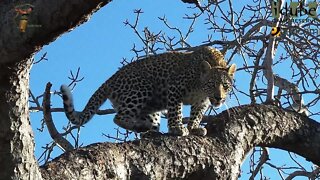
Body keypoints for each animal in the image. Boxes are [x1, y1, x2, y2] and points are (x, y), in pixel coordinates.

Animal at [60, 46, 235, 136]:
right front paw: (177, 128)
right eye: (211, 84)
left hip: (151, 109)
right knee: (118, 118)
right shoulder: (174, 88)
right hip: (142, 88)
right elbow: (176, 111)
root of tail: (110, 79)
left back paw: (149, 132)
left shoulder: (201, 102)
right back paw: (142, 128)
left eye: (225, 86)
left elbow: (196, 115)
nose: (219, 98)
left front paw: (194, 127)